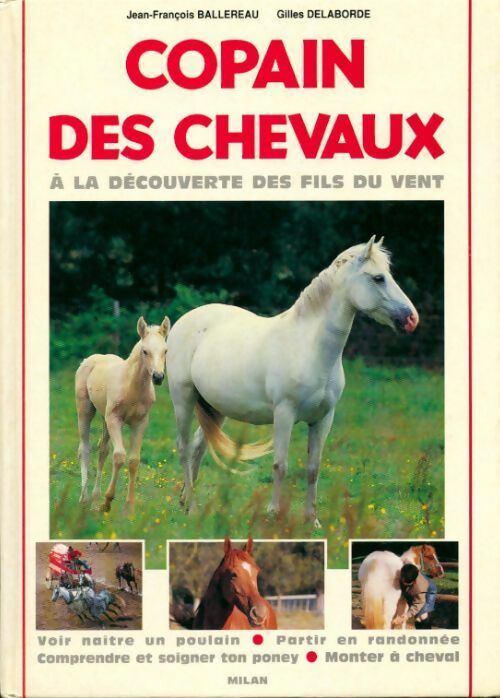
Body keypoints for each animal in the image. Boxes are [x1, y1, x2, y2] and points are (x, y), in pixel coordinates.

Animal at [75, 316, 170, 514]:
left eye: (165, 350)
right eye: (145, 351)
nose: (158, 377)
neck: (132, 386)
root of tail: (90, 359)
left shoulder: (140, 422)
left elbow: (133, 461)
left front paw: (129, 508)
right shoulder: (115, 420)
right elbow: (119, 456)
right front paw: (107, 502)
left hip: (103, 418)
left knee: (102, 450)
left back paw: (94, 500)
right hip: (85, 410)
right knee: (84, 449)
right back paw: (85, 499)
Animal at [166, 237, 419, 526]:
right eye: (378, 278)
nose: (411, 318)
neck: (309, 347)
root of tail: (185, 320)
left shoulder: (323, 419)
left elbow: (313, 468)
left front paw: (312, 520)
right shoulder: (284, 413)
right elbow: (280, 465)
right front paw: (274, 515)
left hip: (214, 408)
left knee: (198, 448)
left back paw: (186, 503)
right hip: (183, 399)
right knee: (184, 448)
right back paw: (193, 507)